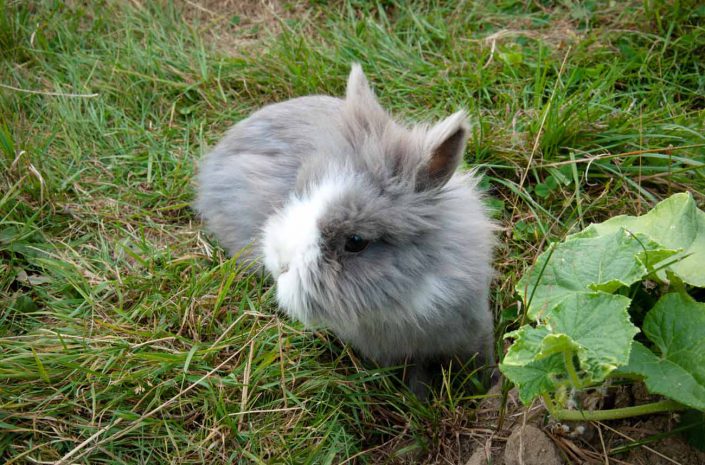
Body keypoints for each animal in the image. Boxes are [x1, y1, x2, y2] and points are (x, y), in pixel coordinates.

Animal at [195, 64, 498, 396]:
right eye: (298, 192)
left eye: (355, 241)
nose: (280, 265)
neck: (406, 298)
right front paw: (419, 398)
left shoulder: (474, 326)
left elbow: (483, 359)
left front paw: (490, 389)